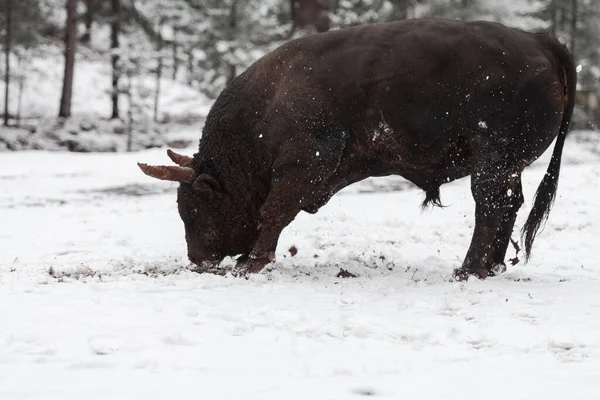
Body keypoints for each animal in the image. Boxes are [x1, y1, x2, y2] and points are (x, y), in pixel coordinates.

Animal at [137, 18, 576, 280]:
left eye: (194, 207)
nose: (197, 259)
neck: (269, 100)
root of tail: (539, 40)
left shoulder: (303, 166)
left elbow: (273, 212)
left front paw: (251, 263)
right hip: (507, 165)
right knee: (508, 204)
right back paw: (493, 266)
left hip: (492, 161)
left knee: (490, 206)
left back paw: (467, 269)